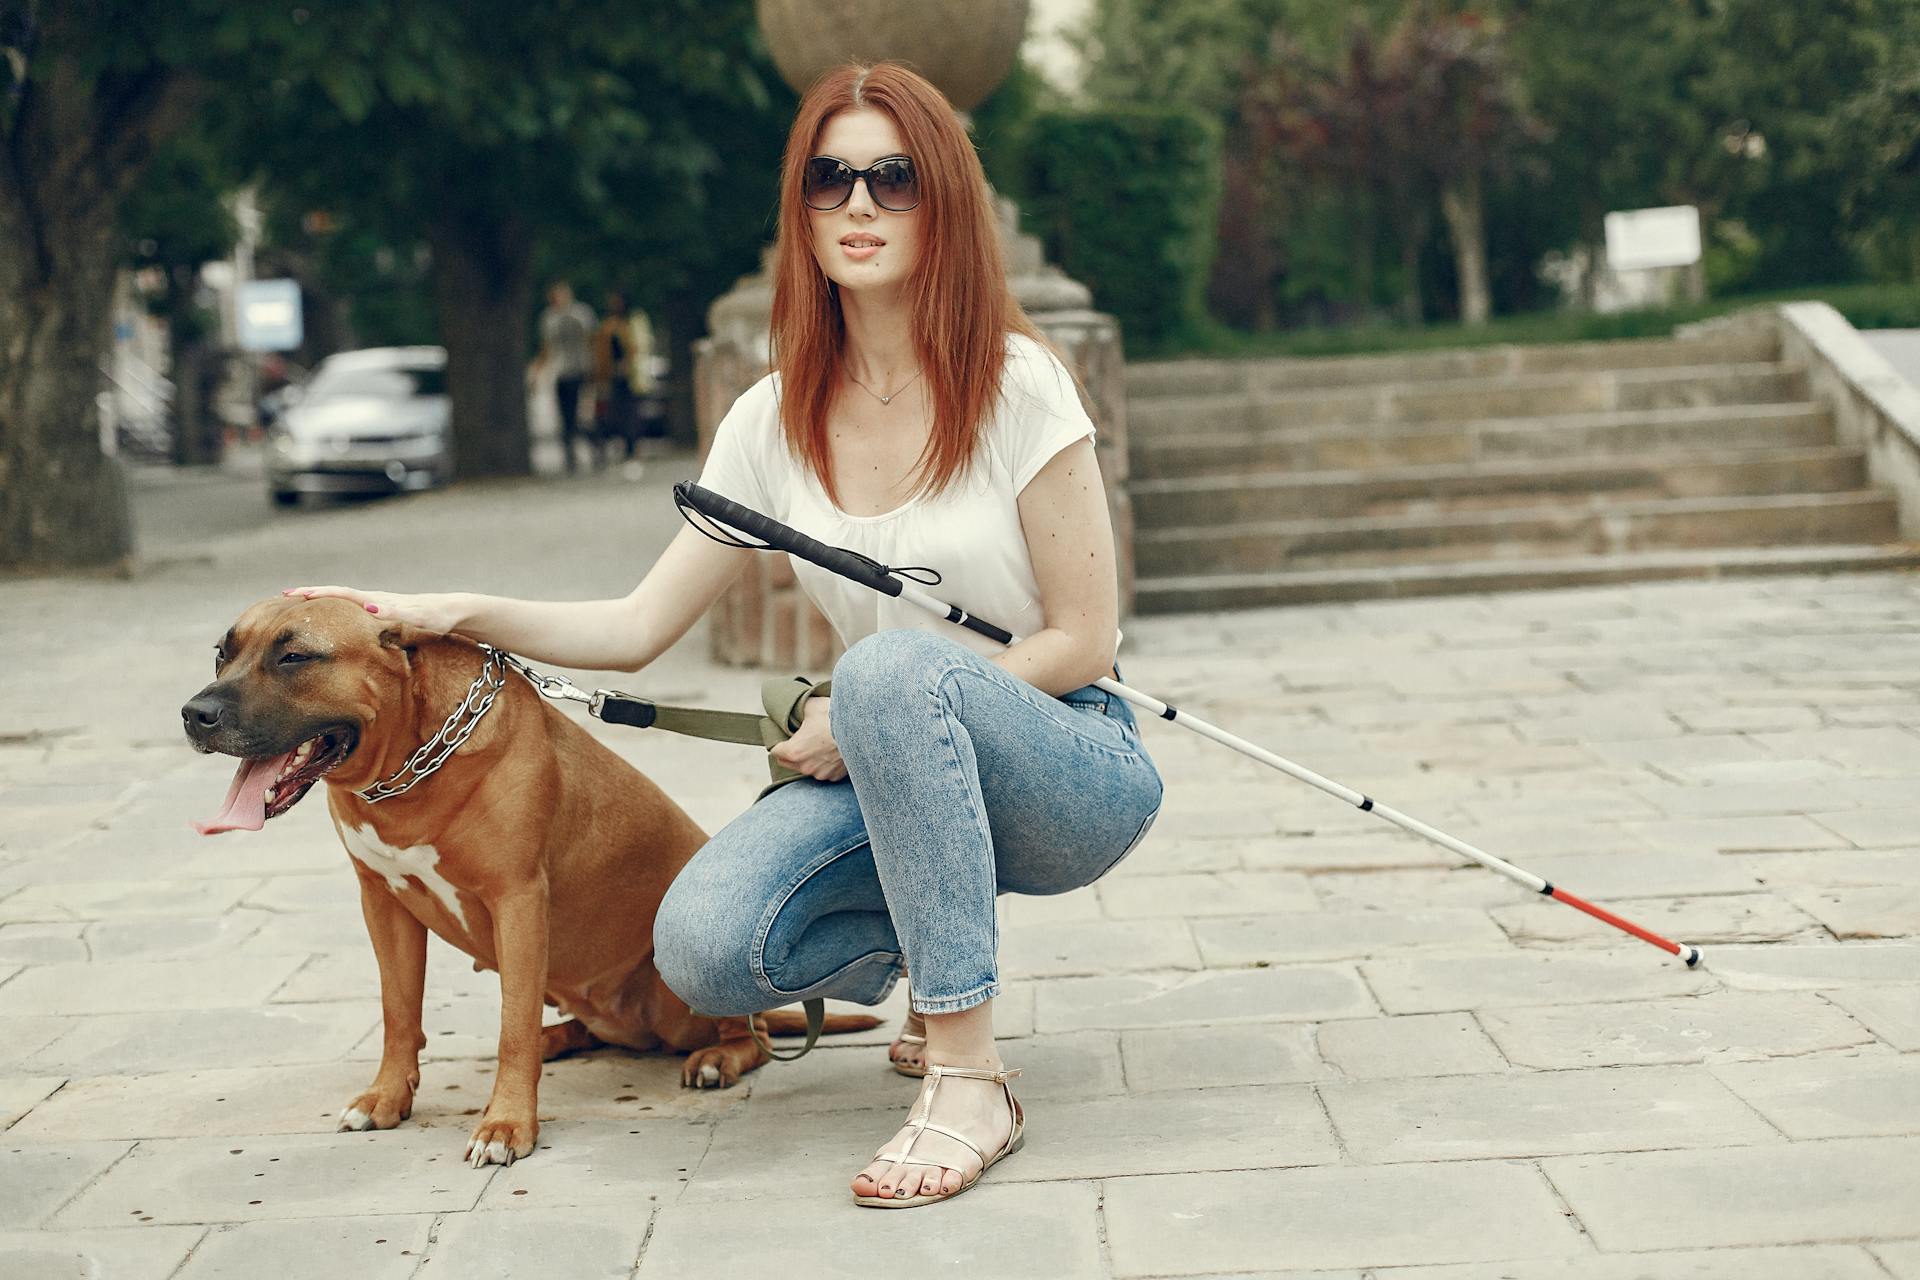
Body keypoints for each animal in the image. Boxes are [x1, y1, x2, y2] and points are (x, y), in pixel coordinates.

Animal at [180, 594, 871, 1166]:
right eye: (222, 652)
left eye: (295, 655)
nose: (194, 713)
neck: (409, 770)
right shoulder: (382, 903)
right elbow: (398, 1009)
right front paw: (386, 1097)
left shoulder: (517, 901)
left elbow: (510, 1026)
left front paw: (507, 1124)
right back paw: (559, 1036)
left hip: (677, 993)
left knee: (747, 1033)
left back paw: (717, 1057)